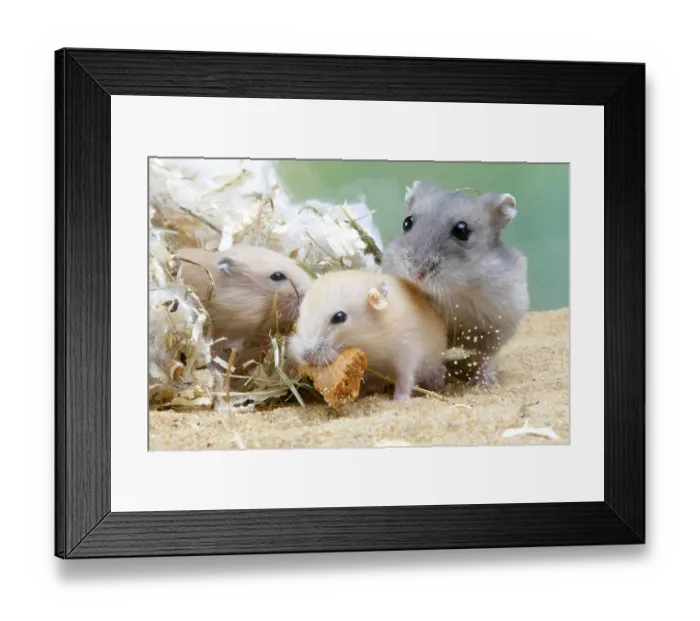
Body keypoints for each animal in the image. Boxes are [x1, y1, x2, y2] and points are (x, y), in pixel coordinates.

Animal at [289, 270, 448, 401]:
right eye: (300, 313)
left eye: (339, 317)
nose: (304, 356)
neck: (371, 338)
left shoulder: (407, 352)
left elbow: (405, 379)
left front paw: (399, 400)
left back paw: (437, 384)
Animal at [381, 181, 529, 386]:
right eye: (407, 222)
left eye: (462, 230)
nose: (417, 273)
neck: (457, 289)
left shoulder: (499, 326)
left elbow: (487, 356)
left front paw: (484, 384)